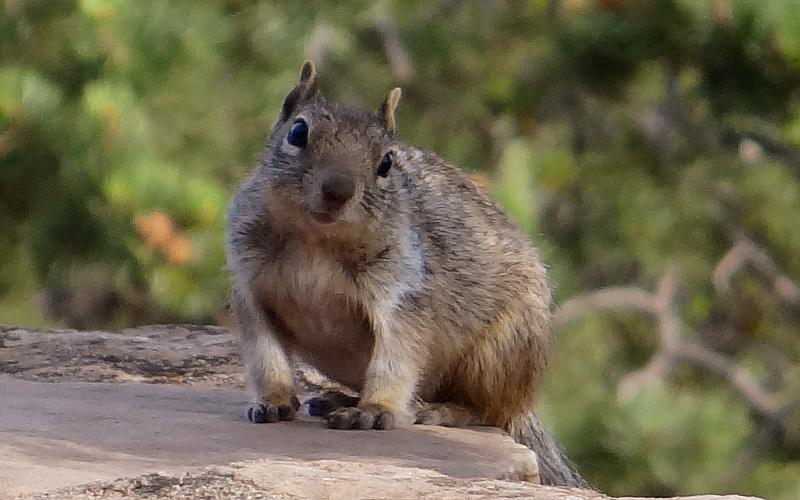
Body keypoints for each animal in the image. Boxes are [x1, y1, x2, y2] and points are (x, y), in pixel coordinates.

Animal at [225, 60, 588, 486]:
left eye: (387, 162)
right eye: (298, 132)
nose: (338, 190)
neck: (315, 242)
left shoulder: (402, 293)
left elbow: (396, 357)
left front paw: (375, 410)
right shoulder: (250, 288)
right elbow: (266, 355)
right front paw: (274, 401)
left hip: (498, 354)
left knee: (488, 410)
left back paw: (439, 410)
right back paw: (340, 397)